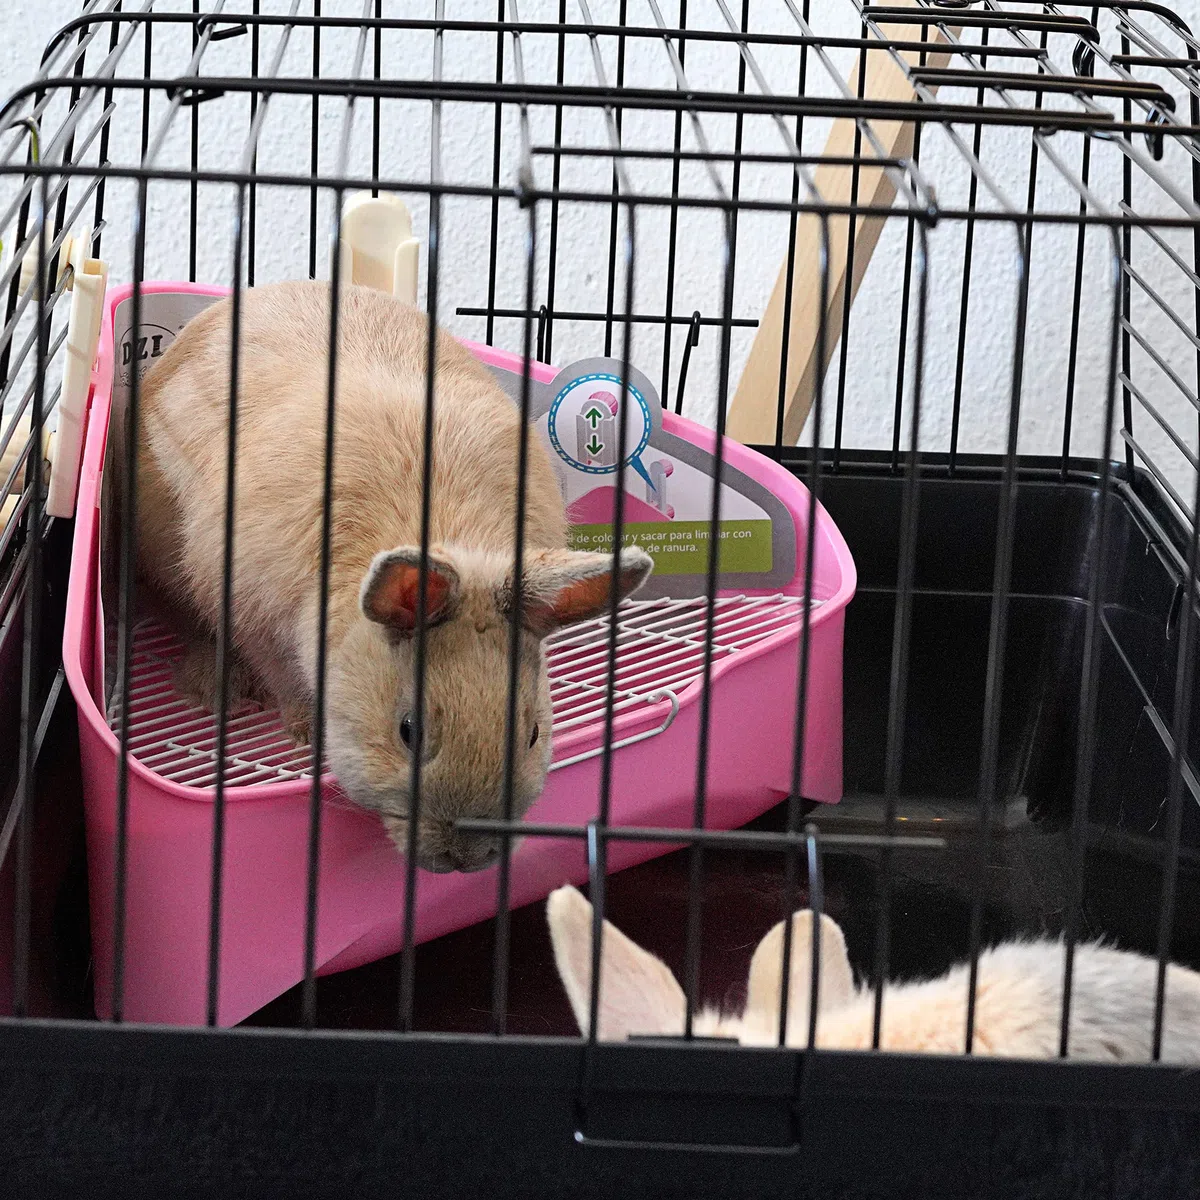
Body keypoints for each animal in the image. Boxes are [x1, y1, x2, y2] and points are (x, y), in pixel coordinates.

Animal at [134, 280, 653, 874]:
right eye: (408, 731)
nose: (468, 856)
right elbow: (281, 673)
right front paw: (304, 728)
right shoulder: (253, 616)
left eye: (532, 734)